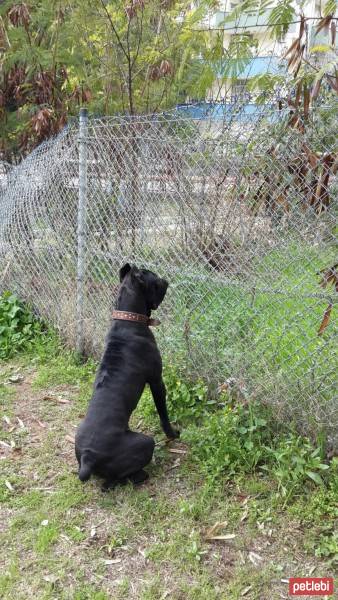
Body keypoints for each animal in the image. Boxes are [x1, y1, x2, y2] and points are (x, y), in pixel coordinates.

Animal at [74, 264, 180, 490]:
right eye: (154, 279)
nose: (165, 279)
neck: (128, 319)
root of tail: (88, 457)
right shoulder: (157, 381)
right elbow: (163, 414)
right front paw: (173, 434)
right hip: (146, 442)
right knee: (114, 481)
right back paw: (141, 475)